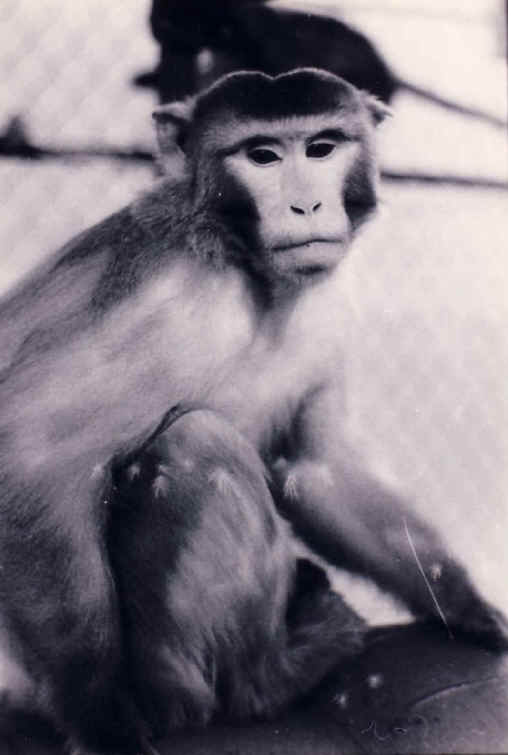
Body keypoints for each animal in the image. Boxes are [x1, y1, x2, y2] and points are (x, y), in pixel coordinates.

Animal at [0, 68, 506, 753]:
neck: (252, 276)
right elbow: (28, 450)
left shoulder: (324, 306)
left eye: (321, 148)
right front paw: (97, 712)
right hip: (161, 668)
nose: (306, 206)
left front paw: (465, 603)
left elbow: (317, 468)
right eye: (263, 156)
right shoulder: (160, 297)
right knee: (198, 443)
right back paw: (275, 677)